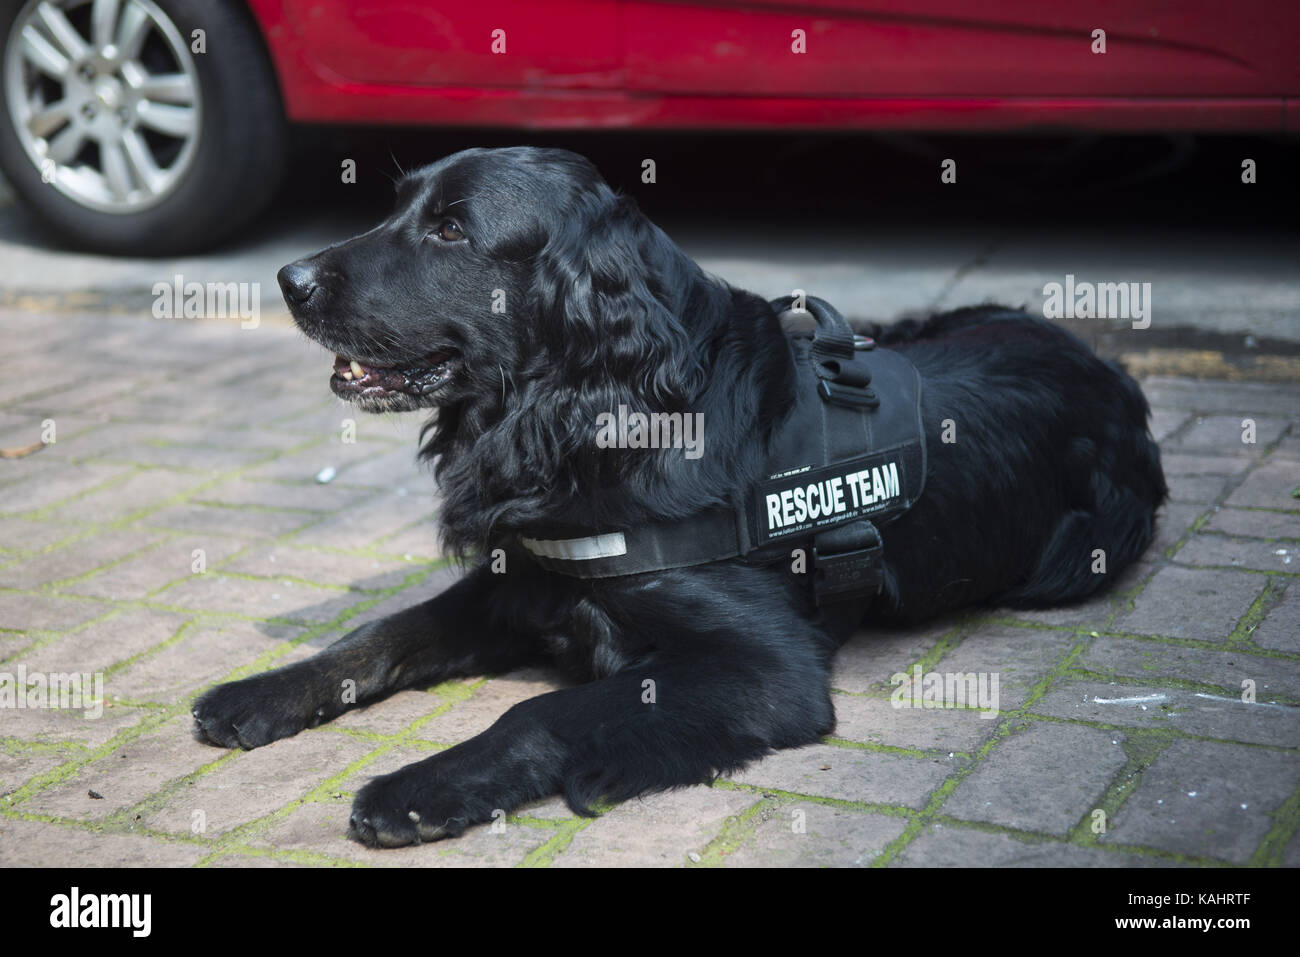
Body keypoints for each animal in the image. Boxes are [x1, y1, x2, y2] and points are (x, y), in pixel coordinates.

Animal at [189, 145, 1170, 847]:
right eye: (398, 207)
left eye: (453, 231)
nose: (289, 279)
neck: (600, 415)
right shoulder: (528, 581)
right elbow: (382, 633)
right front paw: (264, 691)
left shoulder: (766, 667)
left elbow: (538, 708)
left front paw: (421, 787)